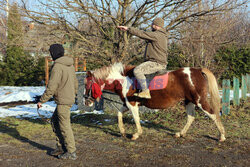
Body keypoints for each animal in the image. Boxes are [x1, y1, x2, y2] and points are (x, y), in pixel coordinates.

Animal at [83, 63, 226, 142]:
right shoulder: (127, 104)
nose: (86, 101)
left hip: (200, 101)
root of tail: (198, 70)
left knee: (214, 114)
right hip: (189, 101)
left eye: (87, 83)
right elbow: (119, 114)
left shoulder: (132, 105)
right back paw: (180, 133)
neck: (124, 81)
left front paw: (136, 134)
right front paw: (122, 131)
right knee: (191, 117)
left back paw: (222, 136)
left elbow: (136, 119)